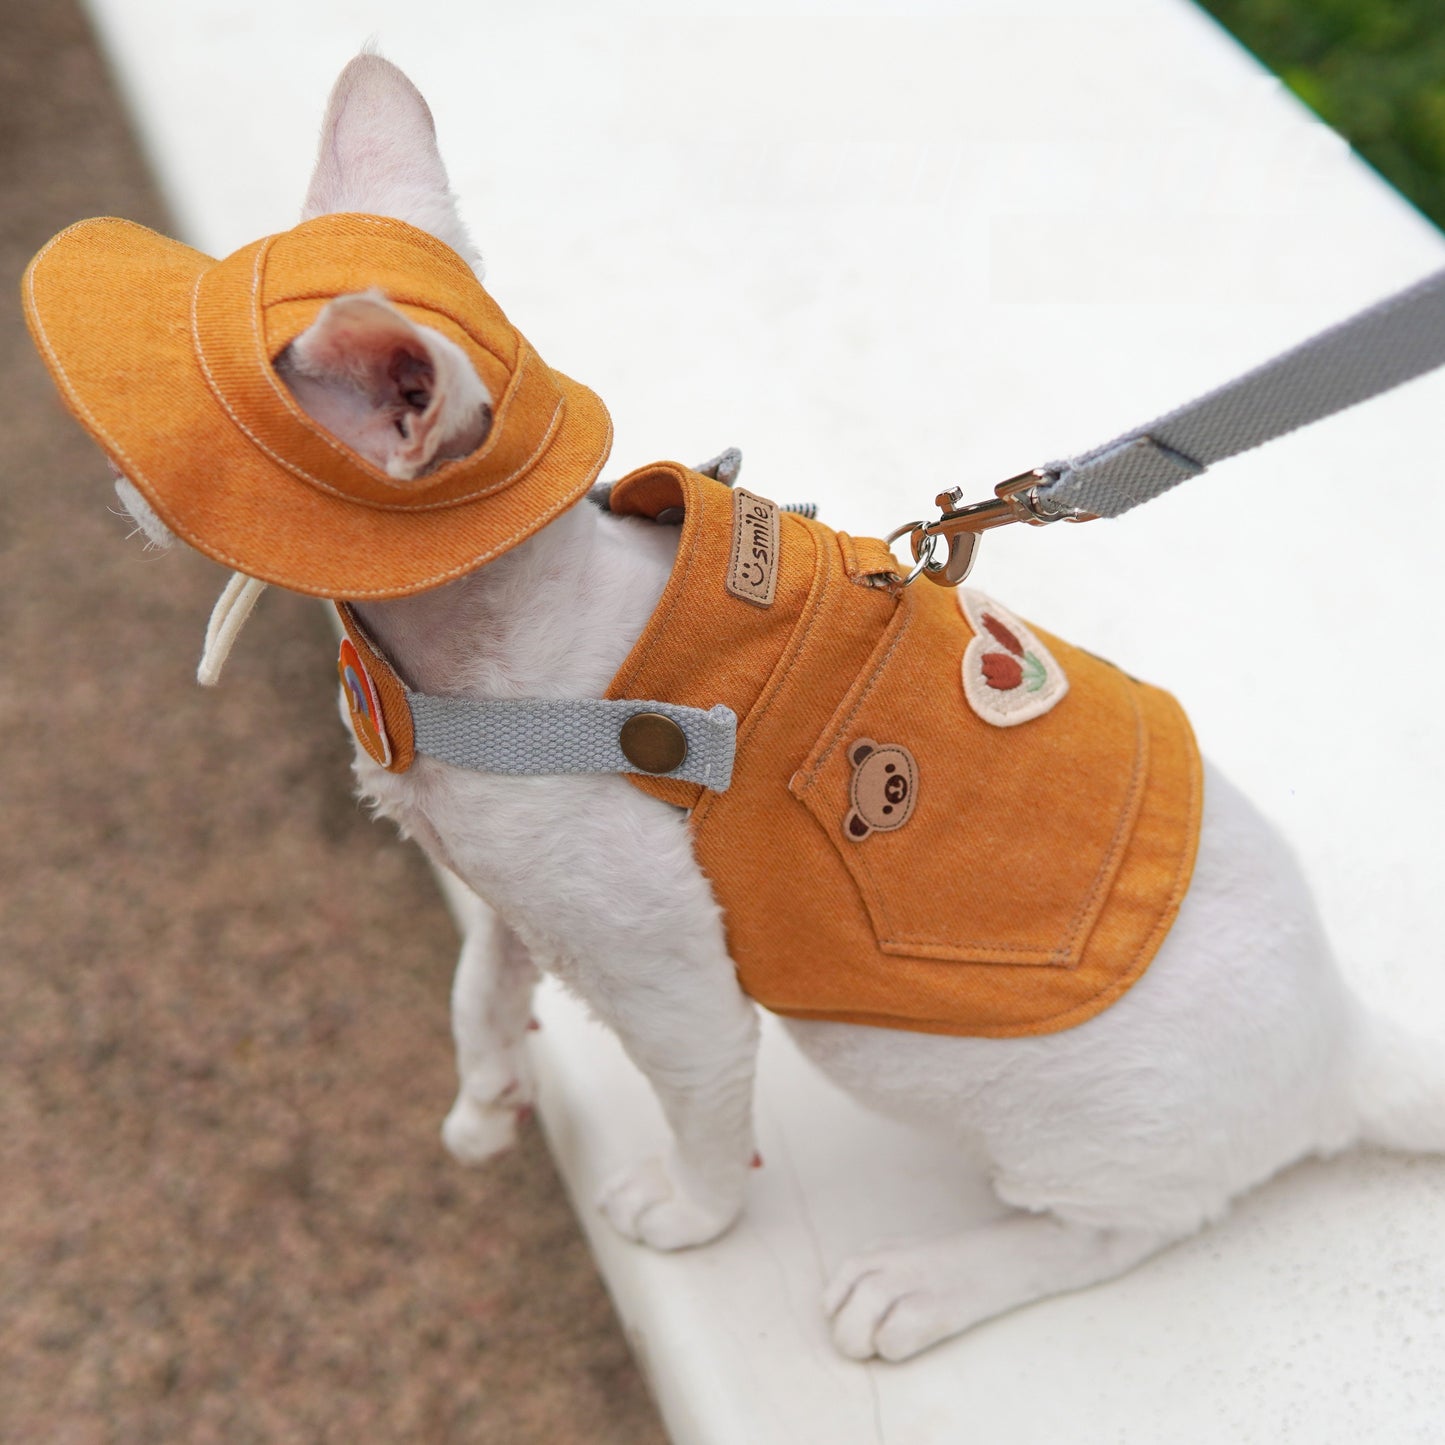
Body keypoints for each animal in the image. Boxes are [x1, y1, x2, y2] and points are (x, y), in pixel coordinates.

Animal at [118, 59, 1445, 1364]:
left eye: (179, 425)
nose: (118, 486)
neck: (454, 665)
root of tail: (1346, 1036)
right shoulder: (508, 882)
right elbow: (478, 977)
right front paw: (486, 1091)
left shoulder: (674, 983)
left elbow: (703, 1122)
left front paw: (688, 1211)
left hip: (1033, 1107)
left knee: (1128, 1226)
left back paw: (926, 1283)